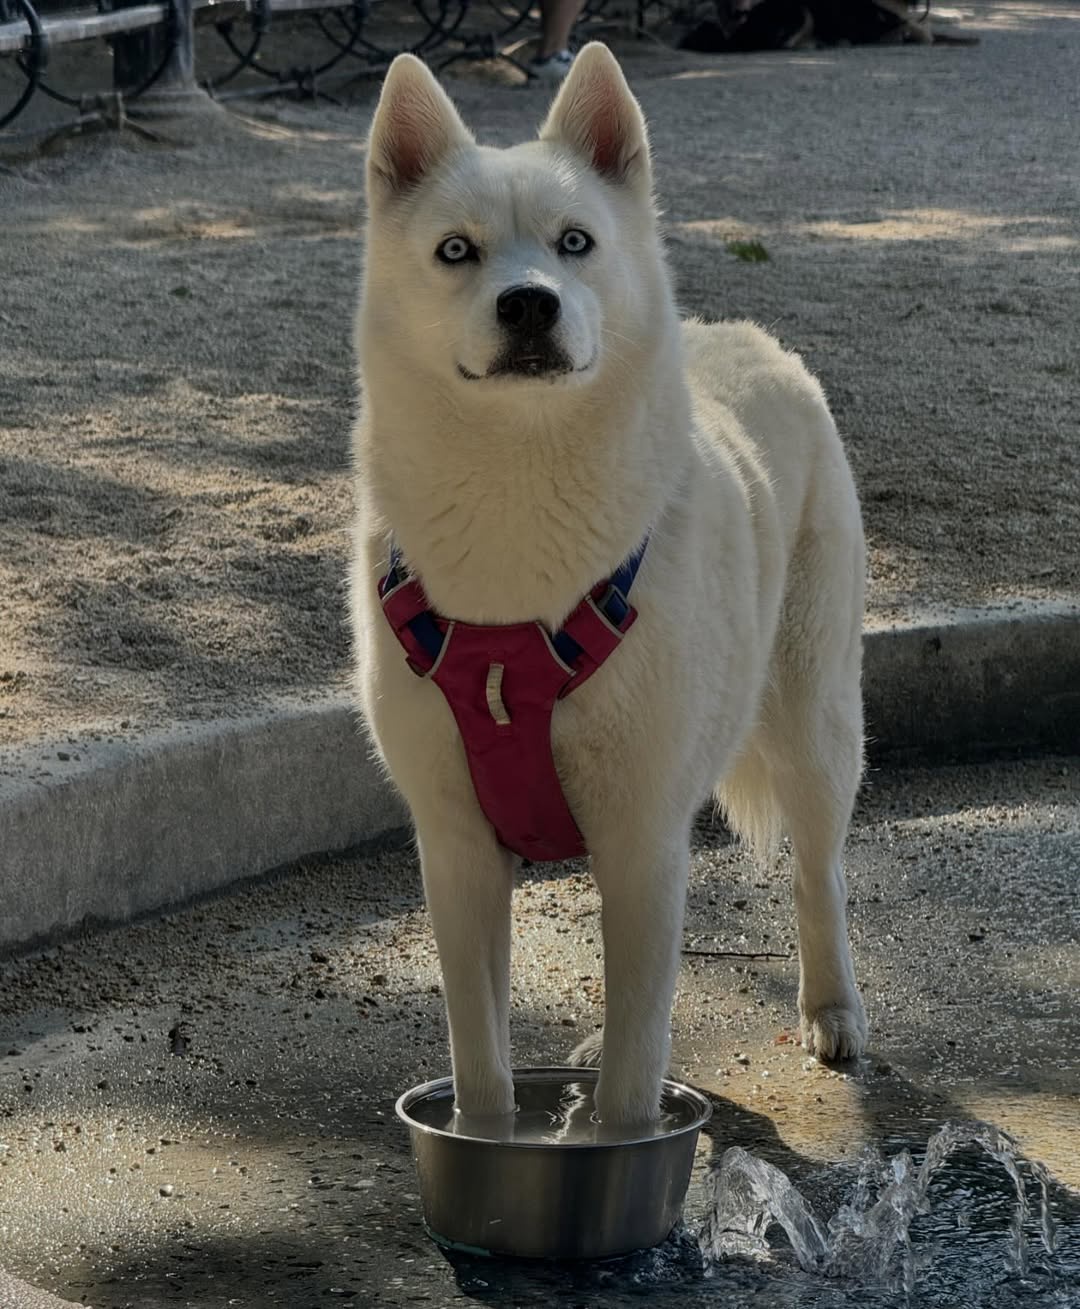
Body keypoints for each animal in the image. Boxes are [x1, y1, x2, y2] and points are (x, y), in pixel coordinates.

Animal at [350, 40, 863, 1125]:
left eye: (574, 241)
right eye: (456, 252)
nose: (529, 302)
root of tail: (748, 335)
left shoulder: (639, 836)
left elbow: (633, 1078)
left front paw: (623, 1144)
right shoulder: (456, 849)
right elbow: (483, 1058)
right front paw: (493, 1135)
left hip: (814, 728)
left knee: (819, 874)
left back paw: (832, 1009)